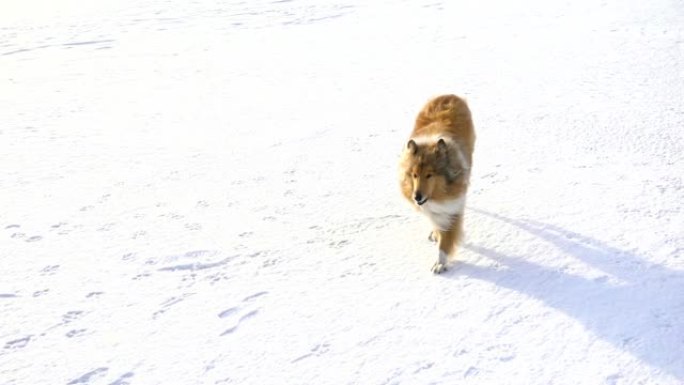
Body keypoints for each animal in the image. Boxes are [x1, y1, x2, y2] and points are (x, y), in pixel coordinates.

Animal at [400, 94, 476, 272]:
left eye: (429, 175)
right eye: (414, 175)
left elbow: (446, 239)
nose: (417, 197)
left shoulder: (453, 208)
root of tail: (450, 95)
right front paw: (435, 233)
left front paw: (440, 263)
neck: (437, 196)